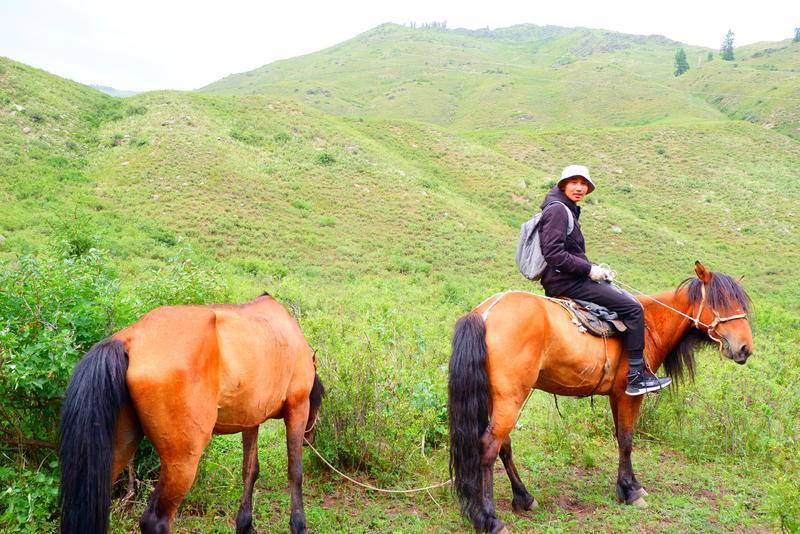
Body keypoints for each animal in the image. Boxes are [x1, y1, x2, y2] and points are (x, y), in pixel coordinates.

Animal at [58, 296, 324, 534]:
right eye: (319, 400)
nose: (310, 440)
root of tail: (130, 339)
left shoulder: (251, 420)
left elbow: (250, 471)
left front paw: (246, 526)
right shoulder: (297, 408)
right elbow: (295, 472)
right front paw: (299, 526)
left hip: (118, 450)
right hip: (182, 462)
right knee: (155, 521)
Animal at [446, 262, 752, 532]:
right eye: (721, 302)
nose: (745, 348)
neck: (651, 324)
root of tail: (484, 313)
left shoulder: (616, 395)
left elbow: (621, 437)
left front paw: (631, 485)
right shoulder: (630, 395)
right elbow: (627, 439)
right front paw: (630, 492)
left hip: (498, 398)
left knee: (503, 445)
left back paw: (523, 497)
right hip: (510, 398)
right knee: (488, 448)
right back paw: (489, 519)